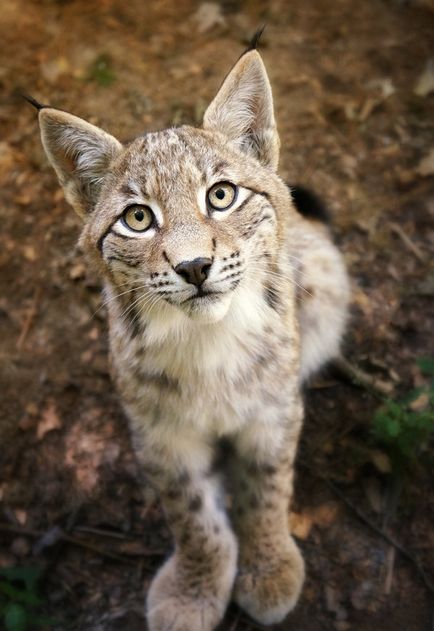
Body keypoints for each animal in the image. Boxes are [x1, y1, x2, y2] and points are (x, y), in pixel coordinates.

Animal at [31, 37, 350, 628]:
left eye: (221, 196)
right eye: (137, 218)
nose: (194, 267)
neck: (209, 340)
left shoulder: (271, 413)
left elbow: (267, 491)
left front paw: (269, 567)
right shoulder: (161, 434)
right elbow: (192, 517)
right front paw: (193, 590)